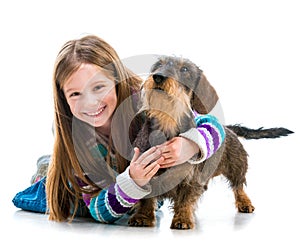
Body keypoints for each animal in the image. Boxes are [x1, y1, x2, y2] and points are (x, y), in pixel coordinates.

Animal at [129, 56, 292, 229]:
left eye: (184, 69)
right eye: (158, 65)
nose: (158, 77)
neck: (167, 122)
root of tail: (228, 128)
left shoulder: (191, 179)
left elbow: (185, 199)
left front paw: (183, 218)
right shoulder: (144, 172)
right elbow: (146, 200)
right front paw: (142, 216)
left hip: (237, 167)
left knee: (239, 186)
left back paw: (244, 202)